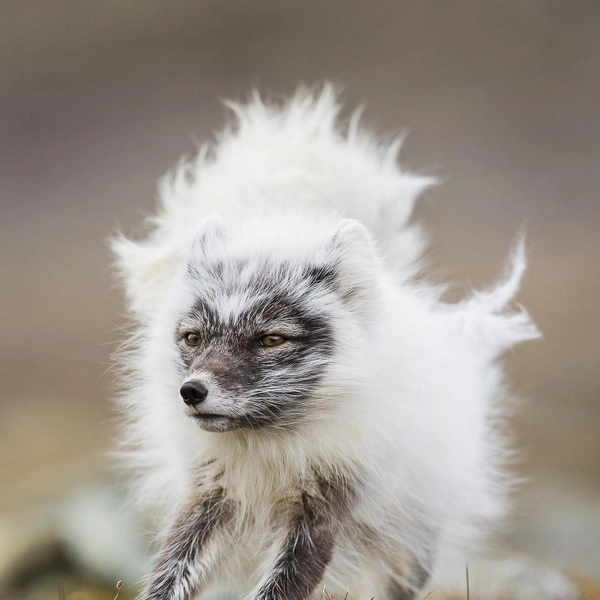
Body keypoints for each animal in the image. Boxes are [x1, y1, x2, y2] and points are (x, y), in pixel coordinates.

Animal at [113, 85, 564, 600]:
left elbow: (280, 587)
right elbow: (167, 575)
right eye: (193, 337)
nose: (191, 391)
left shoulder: (324, 511)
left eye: (271, 338)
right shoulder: (209, 496)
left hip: (410, 540)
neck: (270, 450)